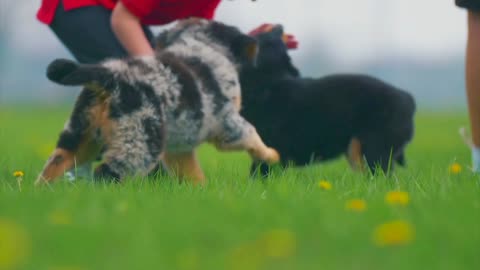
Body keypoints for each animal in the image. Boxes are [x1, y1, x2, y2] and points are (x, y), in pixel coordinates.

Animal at [35, 20, 280, 185]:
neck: (203, 47)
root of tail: (107, 75)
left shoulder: (179, 146)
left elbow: (191, 173)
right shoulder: (228, 124)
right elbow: (253, 135)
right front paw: (272, 155)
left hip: (80, 134)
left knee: (54, 165)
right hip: (139, 141)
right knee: (106, 174)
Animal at [240, 25, 416, 177]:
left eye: (265, 36)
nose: (280, 26)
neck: (268, 82)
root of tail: (408, 99)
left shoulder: (270, 151)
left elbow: (258, 176)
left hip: (373, 149)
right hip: (359, 152)